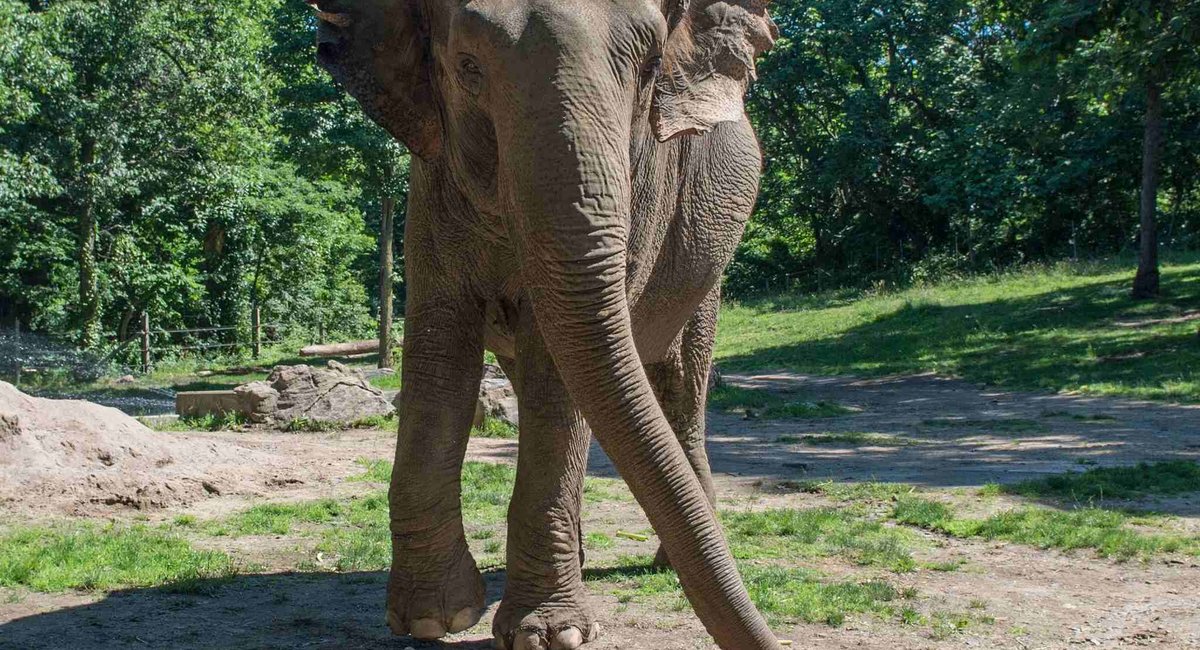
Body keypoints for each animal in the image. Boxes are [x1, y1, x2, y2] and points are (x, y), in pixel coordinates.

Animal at [310, 1, 780, 648]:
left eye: (651, 66)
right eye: (467, 67)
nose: (768, 638)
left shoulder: (645, 189)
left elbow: (557, 369)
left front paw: (551, 636)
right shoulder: (431, 181)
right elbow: (439, 352)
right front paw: (434, 618)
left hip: (705, 266)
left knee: (681, 385)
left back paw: (663, 562)